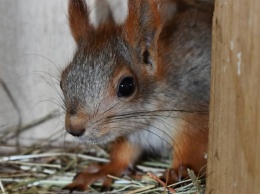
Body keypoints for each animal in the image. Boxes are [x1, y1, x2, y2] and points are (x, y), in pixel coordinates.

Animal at [60, 0, 213, 192]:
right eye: (62, 81)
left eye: (126, 86)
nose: (74, 128)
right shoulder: (130, 134)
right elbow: (123, 156)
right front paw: (103, 171)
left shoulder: (196, 118)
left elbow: (192, 154)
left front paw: (177, 172)